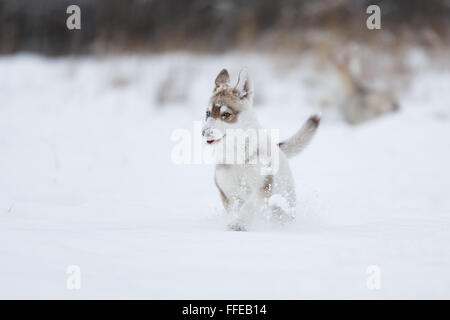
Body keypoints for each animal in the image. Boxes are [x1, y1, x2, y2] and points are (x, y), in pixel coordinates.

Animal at [202, 69, 318, 230]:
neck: (237, 156)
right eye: (208, 113)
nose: (204, 132)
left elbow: (248, 207)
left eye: (226, 114)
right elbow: (235, 208)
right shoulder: (228, 192)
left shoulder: (262, 187)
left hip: (286, 197)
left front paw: (239, 224)